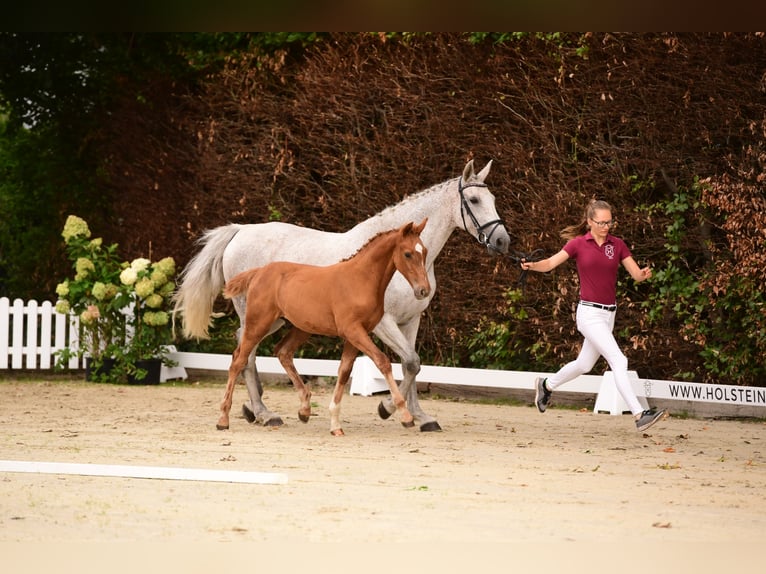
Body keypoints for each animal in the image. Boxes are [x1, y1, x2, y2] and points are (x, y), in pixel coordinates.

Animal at [217, 220, 430, 436]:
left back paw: (304, 409)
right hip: (258, 323)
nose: (423, 290)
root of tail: (259, 272)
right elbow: (383, 362)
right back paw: (224, 419)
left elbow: (344, 371)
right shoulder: (354, 331)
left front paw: (335, 424)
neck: (361, 280)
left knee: (282, 352)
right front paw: (404, 415)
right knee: (238, 361)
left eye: (425, 251)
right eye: (407, 254)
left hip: (300, 328)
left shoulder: (355, 335)